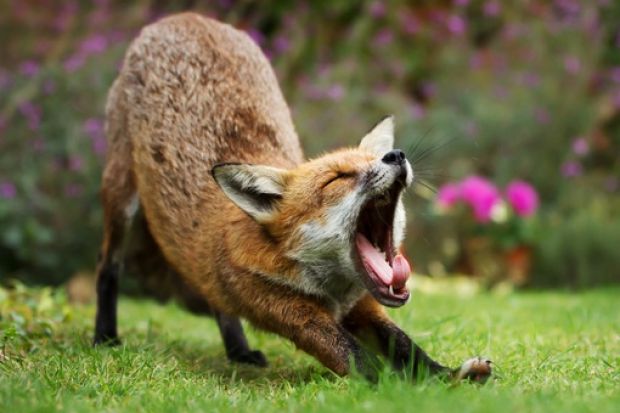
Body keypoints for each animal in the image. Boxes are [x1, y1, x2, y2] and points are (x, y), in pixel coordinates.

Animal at [94, 11, 492, 382]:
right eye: (337, 178)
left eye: (374, 159)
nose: (395, 155)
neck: (330, 289)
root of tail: (184, 17)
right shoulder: (292, 313)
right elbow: (357, 358)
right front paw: (399, 389)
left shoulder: (363, 303)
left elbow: (406, 346)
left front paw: (446, 377)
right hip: (119, 197)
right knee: (108, 268)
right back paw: (104, 337)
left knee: (216, 300)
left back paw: (239, 351)